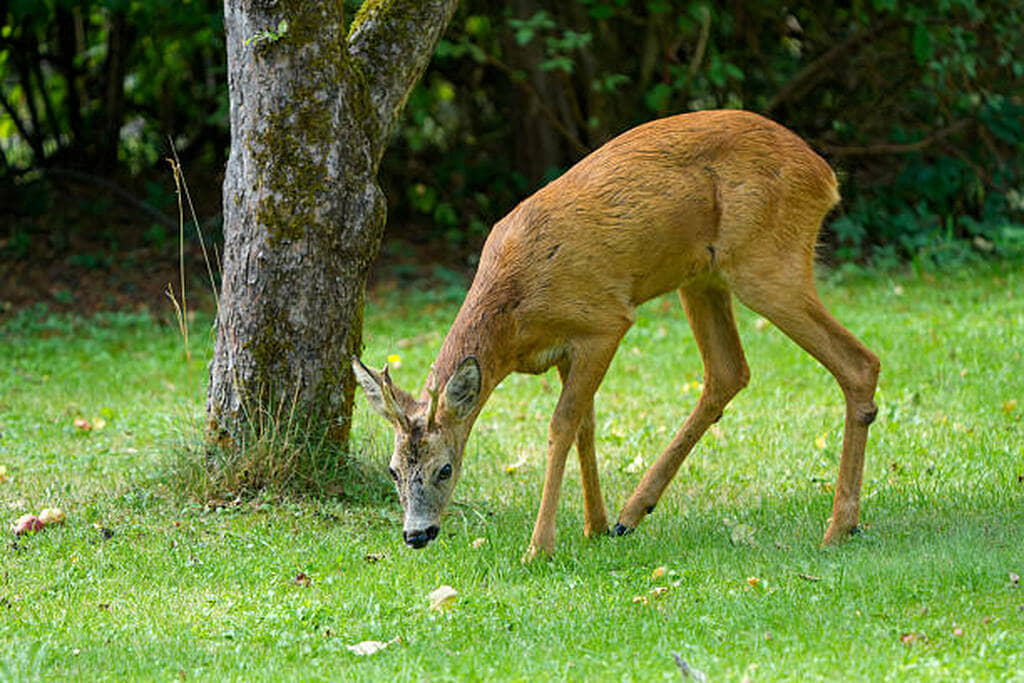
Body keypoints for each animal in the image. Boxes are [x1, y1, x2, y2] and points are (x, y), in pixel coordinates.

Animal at [353, 109, 879, 559]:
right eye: (394, 469)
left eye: (445, 468)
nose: (416, 534)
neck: (515, 311)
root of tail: (825, 175)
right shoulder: (564, 351)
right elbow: (584, 425)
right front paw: (595, 525)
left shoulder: (604, 323)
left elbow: (561, 424)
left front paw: (540, 546)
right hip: (702, 277)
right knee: (729, 371)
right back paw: (633, 513)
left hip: (766, 262)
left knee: (860, 361)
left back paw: (838, 527)